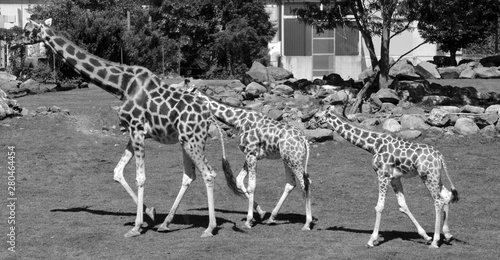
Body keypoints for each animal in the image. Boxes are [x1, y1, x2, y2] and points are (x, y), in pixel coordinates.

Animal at [17, 18, 225, 238]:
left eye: (28, 30)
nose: (13, 42)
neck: (121, 85)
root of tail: (208, 115)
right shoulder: (133, 132)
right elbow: (117, 172)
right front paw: (150, 213)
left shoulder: (137, 129)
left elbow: (140, 177)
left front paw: (136, 227)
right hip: (186, 141)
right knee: (189, 175)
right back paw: (165, 223)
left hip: (193, 140)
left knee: (209, 173)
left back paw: (209, 228)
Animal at [174, 89, 312, 230]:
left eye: (186, 95)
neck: (238, 121)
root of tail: (304, 139)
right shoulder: (250, 154)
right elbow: (239, 180)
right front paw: (261, 213)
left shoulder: (251, 153)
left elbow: (251, 185)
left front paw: (248, 220)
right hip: (287, 159)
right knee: (291, 183)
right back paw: (272, 217)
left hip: (294, 160)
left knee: (305, 183)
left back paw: (307, 223)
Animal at [306, 105, 458, 248]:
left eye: (317, 116)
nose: (308, 125)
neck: (373, 145)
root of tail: (440, 156)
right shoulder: (395, 178)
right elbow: (403, 205)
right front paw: (425, 236)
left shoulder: (382, 174)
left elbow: (379, 207)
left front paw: (371, 240)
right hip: (435, 176)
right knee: (446, 195)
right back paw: (447, 235)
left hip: (428, 176)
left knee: (438, 200)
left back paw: (436, 241)